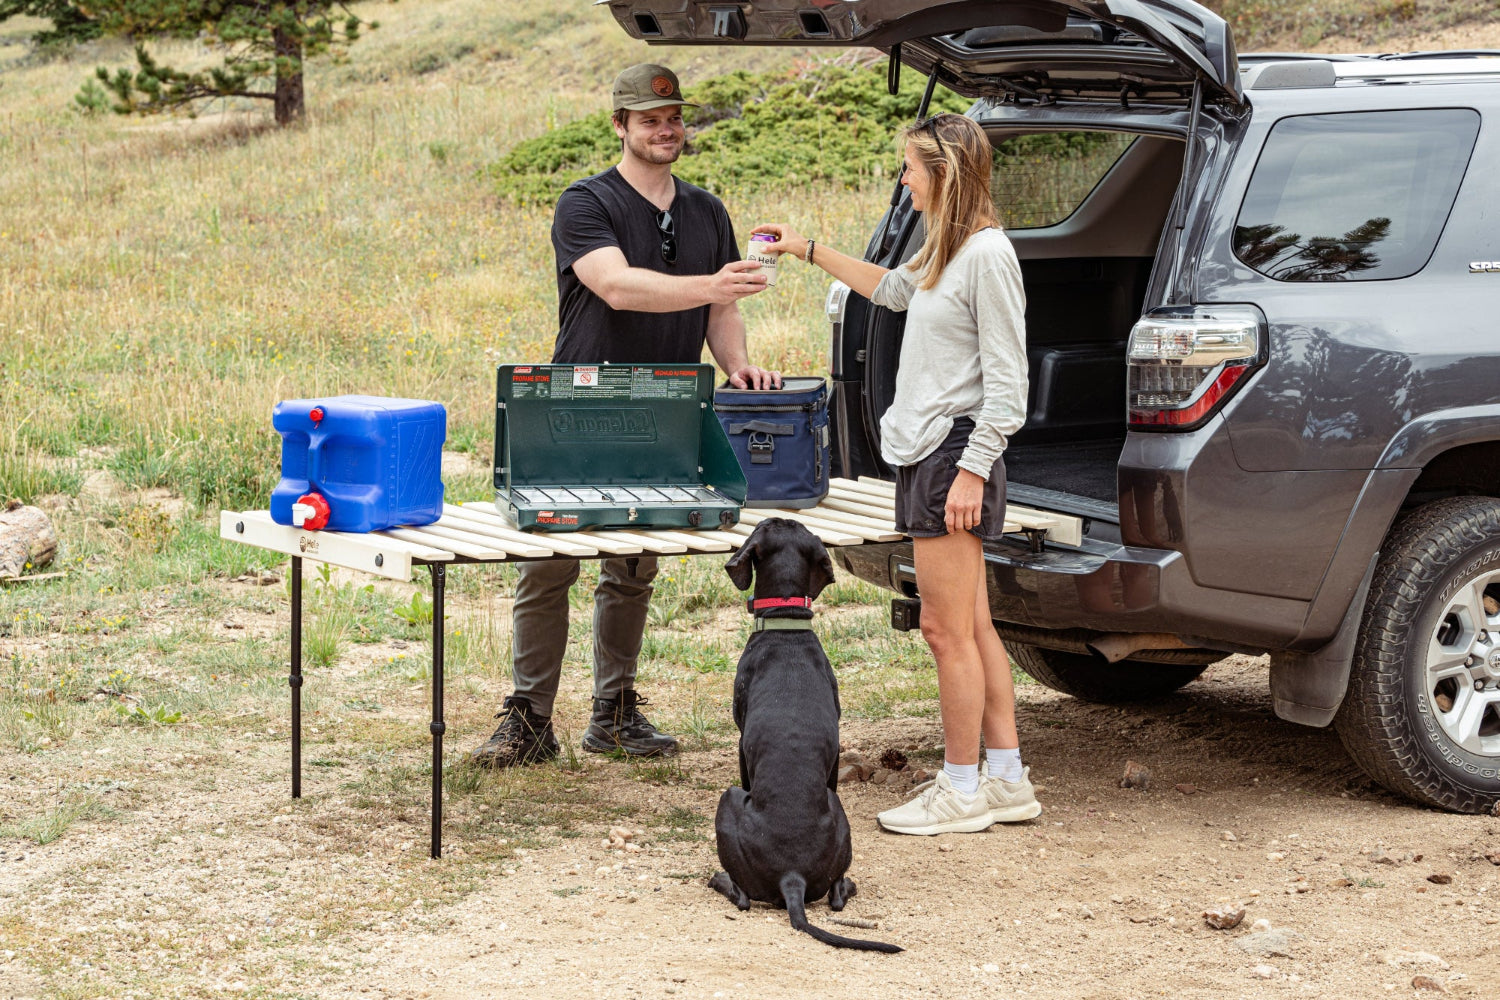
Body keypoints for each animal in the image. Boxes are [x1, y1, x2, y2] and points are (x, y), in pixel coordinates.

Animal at [708, 515, 894, 953]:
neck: (786, 626)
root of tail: (791, 877)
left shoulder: (740, 741)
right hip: (836, 811)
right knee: (838, 894)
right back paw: (850, 886)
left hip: (728, 799)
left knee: (742, 897)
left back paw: (719, 880)